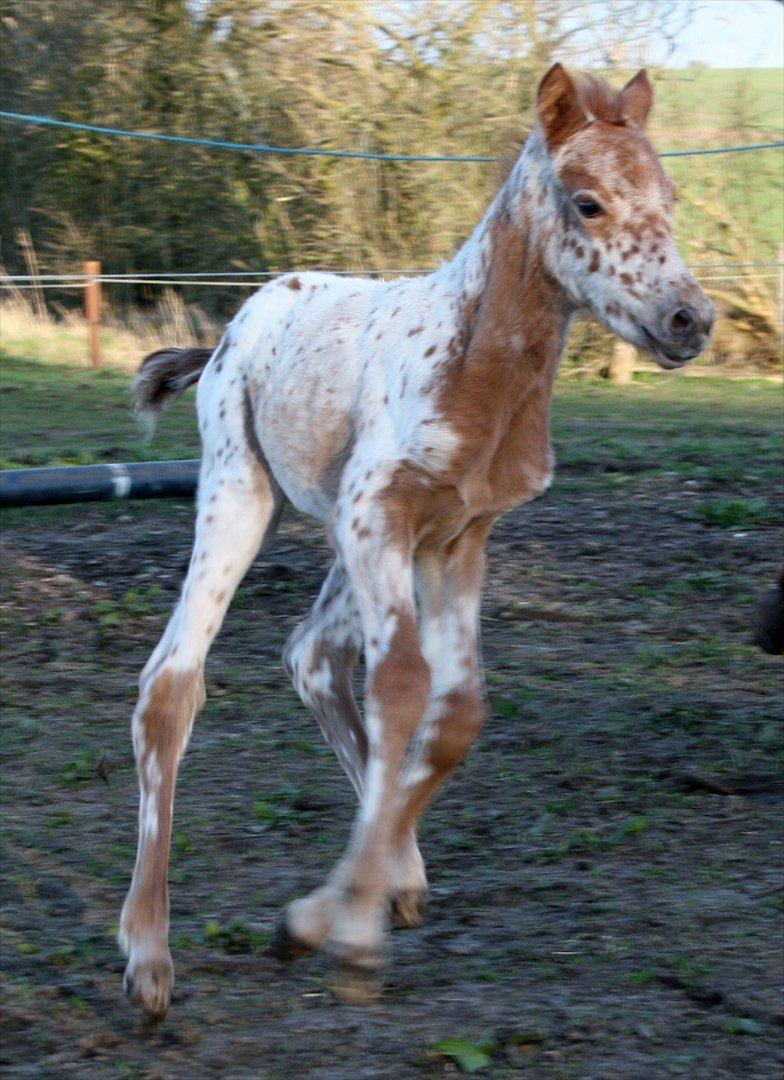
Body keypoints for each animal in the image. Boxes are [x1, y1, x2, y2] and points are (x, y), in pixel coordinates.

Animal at [119, 63, 714, 1019]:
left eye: (671, 197)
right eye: (587, 203)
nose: (689, 319)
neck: (478, 368)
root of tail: (233, 330)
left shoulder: (458, 537)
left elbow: (456, 710)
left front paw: (336, 913)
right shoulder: (382, 511)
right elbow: (401, 686)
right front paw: (339, 935)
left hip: (346, 538)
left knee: (310, 656)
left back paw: (396, 876)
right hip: (242, 491)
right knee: (171, 683)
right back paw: (147, 956)